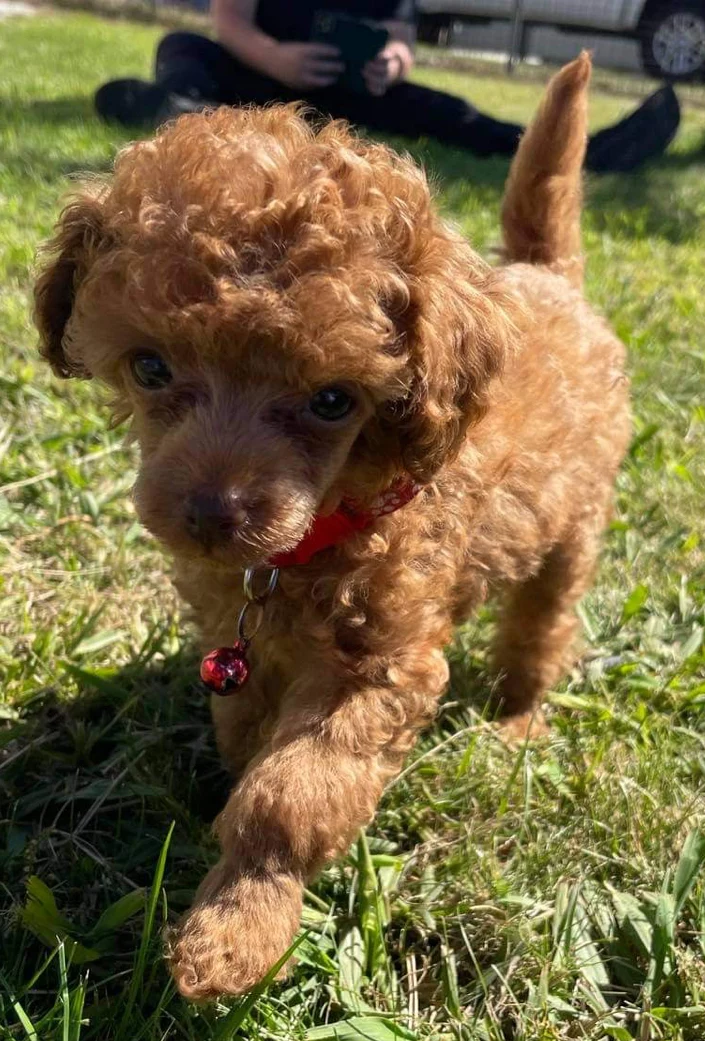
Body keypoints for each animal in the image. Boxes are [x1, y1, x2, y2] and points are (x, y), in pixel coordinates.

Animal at [34, 53, 630, 999]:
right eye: (150, 366)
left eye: (330, 401)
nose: (211, 512)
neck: (315, 534)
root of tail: (547, 275)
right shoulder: (233, 634)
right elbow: (244, 732)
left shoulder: (377, 666)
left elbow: (291, 796)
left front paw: (236, 931)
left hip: (573, 525)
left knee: (543, 621)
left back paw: (516, 717)